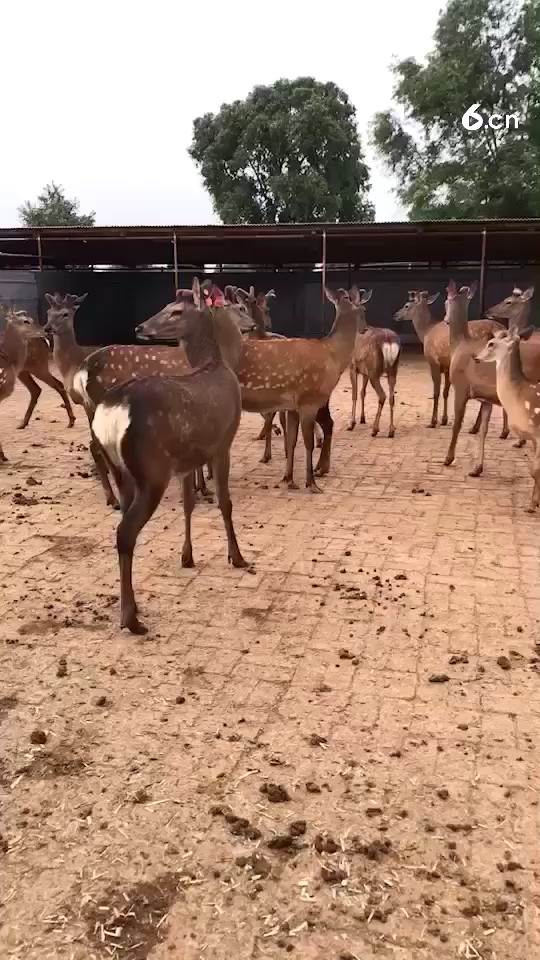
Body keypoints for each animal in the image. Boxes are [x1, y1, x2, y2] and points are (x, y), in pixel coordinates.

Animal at [92, 296, 249, 634]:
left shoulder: (185, 462)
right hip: (153, 470)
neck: (220, 363)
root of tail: (112, 410)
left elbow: (189, 504)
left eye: (175, 310)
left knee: (124, 523)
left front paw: (187, 556)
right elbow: (225, 503)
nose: (140, 327)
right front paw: (238, 557)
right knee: (125, 532)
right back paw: (131, 619)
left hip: (124, 471)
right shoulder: (224, 442)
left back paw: (131, 607)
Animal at [344, 287, 400, 437]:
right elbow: (362, 392)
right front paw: (362, 419)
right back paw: (391, 430)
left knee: (382, 395)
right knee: (392, 396)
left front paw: (351, 423)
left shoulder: (352, 366)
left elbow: (354, 394)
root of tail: (389, 340)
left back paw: (375, 429)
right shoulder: (364, 372)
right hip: (392, 369)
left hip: (375, 370)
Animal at [394, 289, 507, 435]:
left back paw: (479, 428)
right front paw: (444, 420)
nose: (395, 315)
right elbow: (445, 392)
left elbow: (436, 392)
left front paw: (433, 422)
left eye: (407, 305)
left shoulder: (433, 362)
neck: (426, 333)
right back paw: (500, 431)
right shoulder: (447, 366)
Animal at [443, 280, 540, 476]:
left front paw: (448, 458)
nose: (445, 319)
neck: (458, 345)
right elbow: (483, 430)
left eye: (446, 301)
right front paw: (477, 468)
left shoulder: (461, 386)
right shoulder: (486, 399)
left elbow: (457, 424)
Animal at [475, 327, 540, 512]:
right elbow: (535, 471)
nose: (476, 356)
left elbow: (535, 470)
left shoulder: (538, 433)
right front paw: (535, 503)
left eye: (491, 343)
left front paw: (532, 506)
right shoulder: (533, 437)